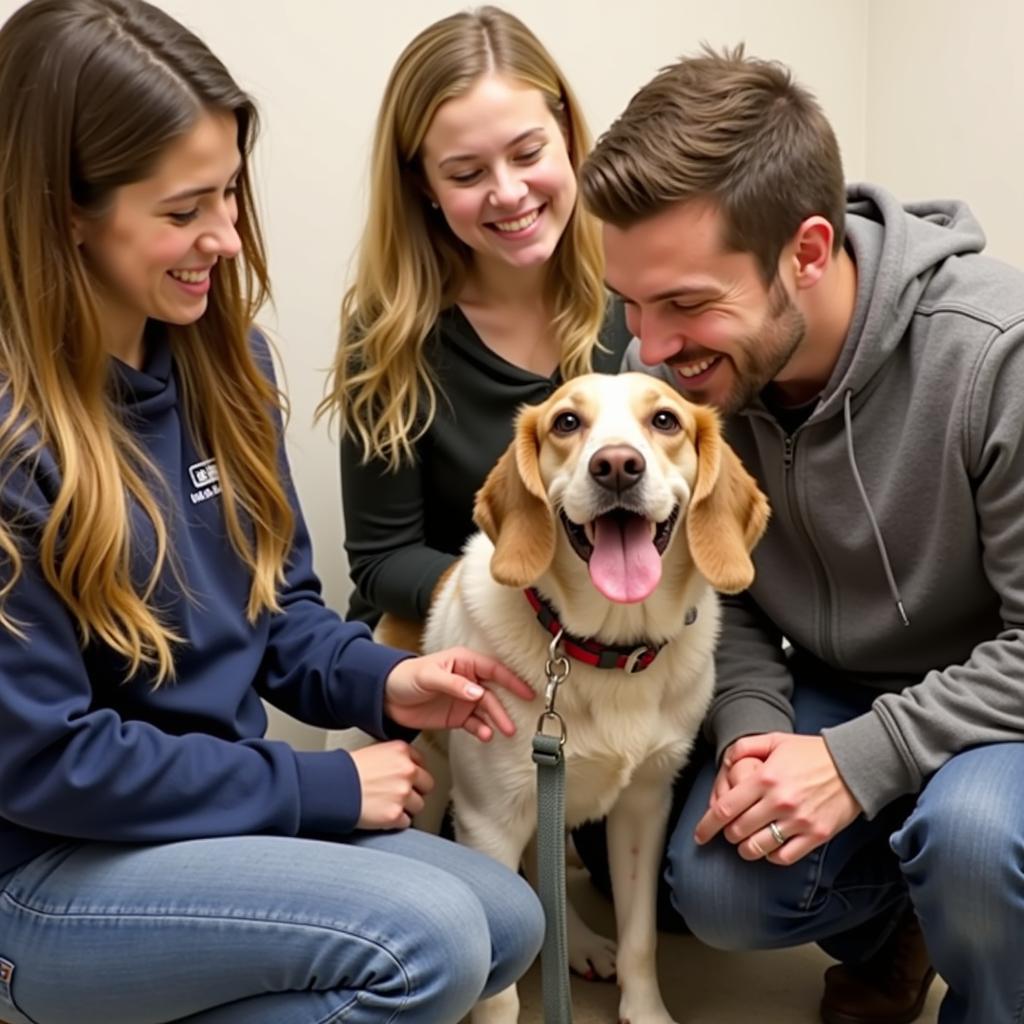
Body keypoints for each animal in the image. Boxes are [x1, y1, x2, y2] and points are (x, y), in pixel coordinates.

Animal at [415, 374, 770, 1024]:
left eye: (664, 419)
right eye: (566, 423)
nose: (617, 466)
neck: (606, 649)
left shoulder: (644, 809)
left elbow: (640, 937)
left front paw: (646, 1011)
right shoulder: (487, 821)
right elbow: (500, 993)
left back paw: (577, 944)